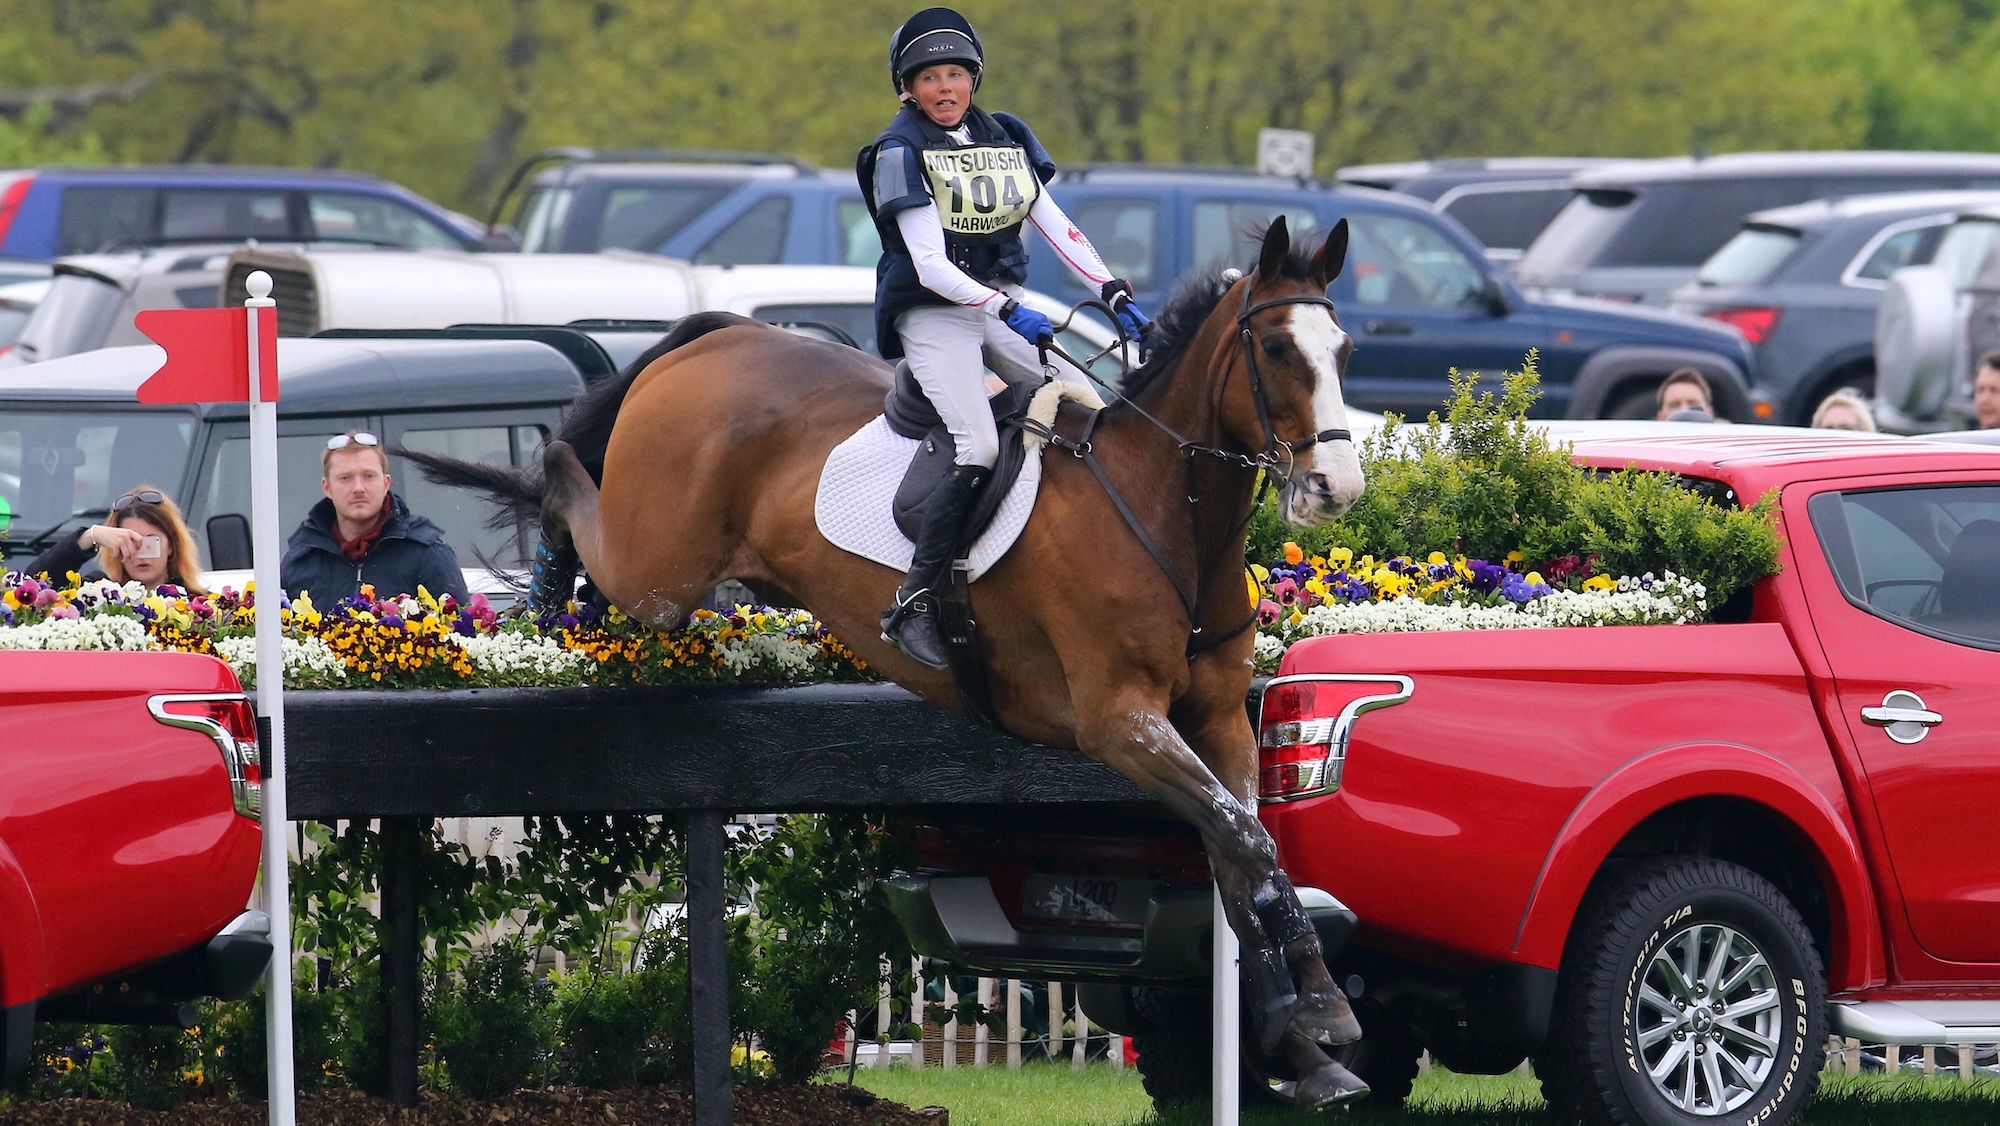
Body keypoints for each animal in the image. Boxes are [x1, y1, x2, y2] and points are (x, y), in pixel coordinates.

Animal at [414, 217, 1370, 1104]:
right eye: (1277, 349)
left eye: (1343, 351)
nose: (1338, 489)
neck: (1162, 510)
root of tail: (719, 337)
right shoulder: (1119, 724)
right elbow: (1244, 839)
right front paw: (1320, 1019)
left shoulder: (1213, 720)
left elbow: (1245, 855)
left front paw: (1307, 1042)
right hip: (660, 568)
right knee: (567, 481)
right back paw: (544, 572)